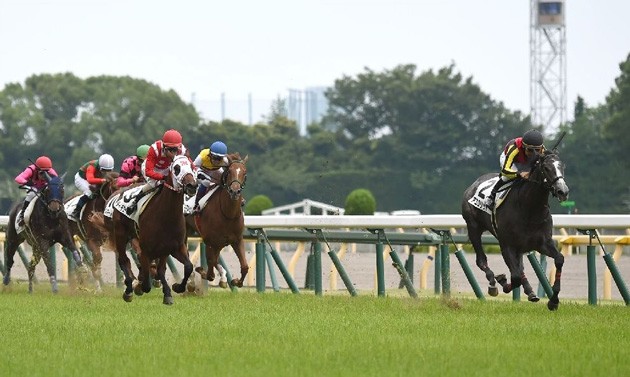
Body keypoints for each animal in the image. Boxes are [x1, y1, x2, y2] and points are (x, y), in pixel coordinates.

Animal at [194, 151, 251, 286]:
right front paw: (203, 271)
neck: (228, 215)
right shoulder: (210, 241)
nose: (235, 191)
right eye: (229, 171)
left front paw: (236, 281)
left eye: (244, 172)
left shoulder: (237, 240)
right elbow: (210, 269)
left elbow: (245, 266)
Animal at [464, 151, 572, 310]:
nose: (562, 191)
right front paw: (502, 281)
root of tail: (474, 184)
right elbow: (514, 276)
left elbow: (559, 259)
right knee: (482, 261)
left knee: (520, 267)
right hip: (473, 228)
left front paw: (553, 300)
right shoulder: (507, 245)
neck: (529, 209)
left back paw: (530, 292)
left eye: (562, 166)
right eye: (546, 168)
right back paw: (493, 283)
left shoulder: (543, 243)